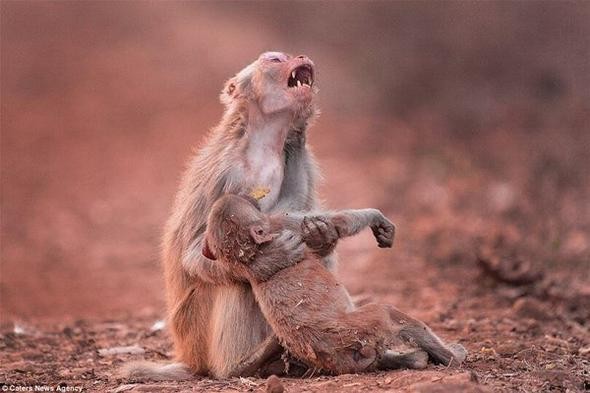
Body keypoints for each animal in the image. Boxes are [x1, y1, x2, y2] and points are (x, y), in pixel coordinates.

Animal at [125, 50, 344, 378]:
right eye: (275, 60)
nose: (301, 56)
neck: (263, 144)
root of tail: (188, 356)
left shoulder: (300, 162)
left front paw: (321, 234)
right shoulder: (226, 174)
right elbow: (196, 252)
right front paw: (269, 261)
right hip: (196, 332)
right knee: (236, 281)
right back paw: (241, 365)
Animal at [204, 194, 468, 376]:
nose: (251, 196)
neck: (250, 254)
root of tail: (335, 351)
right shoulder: (280, 224)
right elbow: (338, 222)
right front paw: (376, 217)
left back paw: (414, 359)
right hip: (360, 328)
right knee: (387, 313)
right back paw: (452, 357)